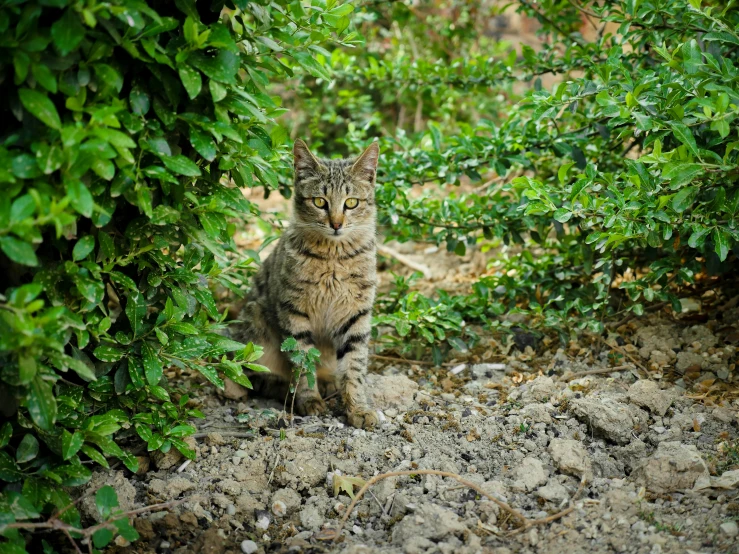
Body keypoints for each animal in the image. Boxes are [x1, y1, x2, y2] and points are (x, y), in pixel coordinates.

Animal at [233, 137, 382, 426]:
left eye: (351, 203)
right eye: (320, 201)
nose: (336, 224)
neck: (334, 258)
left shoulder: (356, 314)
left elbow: (354, 366)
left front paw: (358, 408)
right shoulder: (294, 312)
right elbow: (302, 362)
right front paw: (309, 400)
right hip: (255, 326)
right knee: (257, 378)